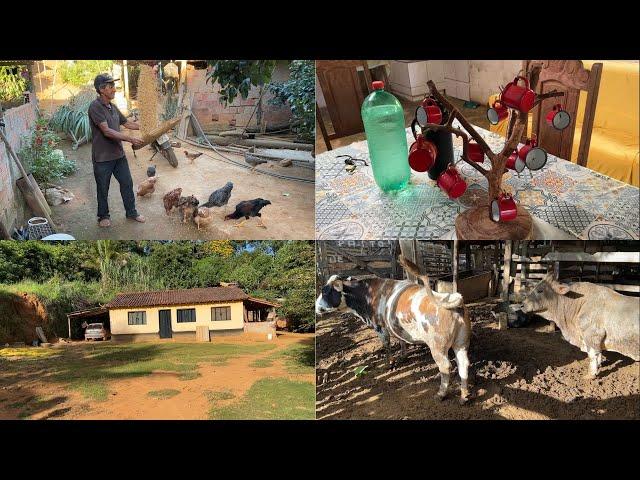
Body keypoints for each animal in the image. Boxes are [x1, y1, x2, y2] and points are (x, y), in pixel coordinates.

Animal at [318, 258, 472, 404]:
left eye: (325, 291)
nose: (316, 307)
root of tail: (451, 299)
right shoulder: (396, 326)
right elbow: (401, 340)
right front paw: (402, 356)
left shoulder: (380, 327)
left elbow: (386, 345)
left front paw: (389, 363)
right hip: (461, 343)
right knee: (463, 364)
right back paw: (464, 396)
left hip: (437, 347)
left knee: (445, 367)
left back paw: (441, 394)